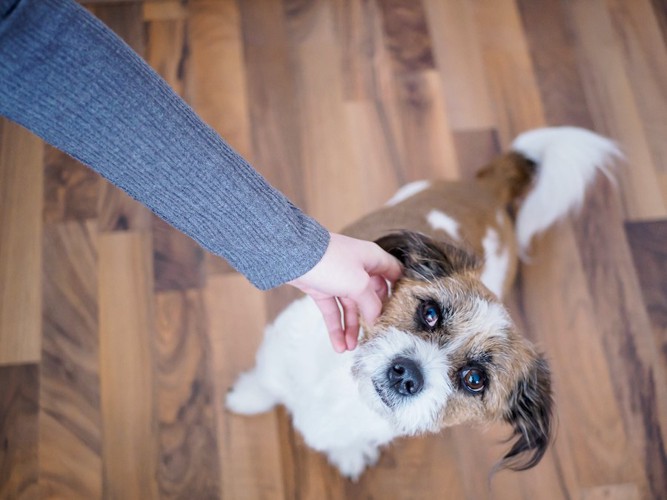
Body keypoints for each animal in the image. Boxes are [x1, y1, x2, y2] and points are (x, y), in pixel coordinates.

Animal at [226, 127, 620, 478]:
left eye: (474, 380)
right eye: (429, 312)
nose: (407, 374)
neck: (345, 386)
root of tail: (487, 192)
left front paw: (348, 453)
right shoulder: (281, 349)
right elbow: (266, 380)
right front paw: (247, 397)